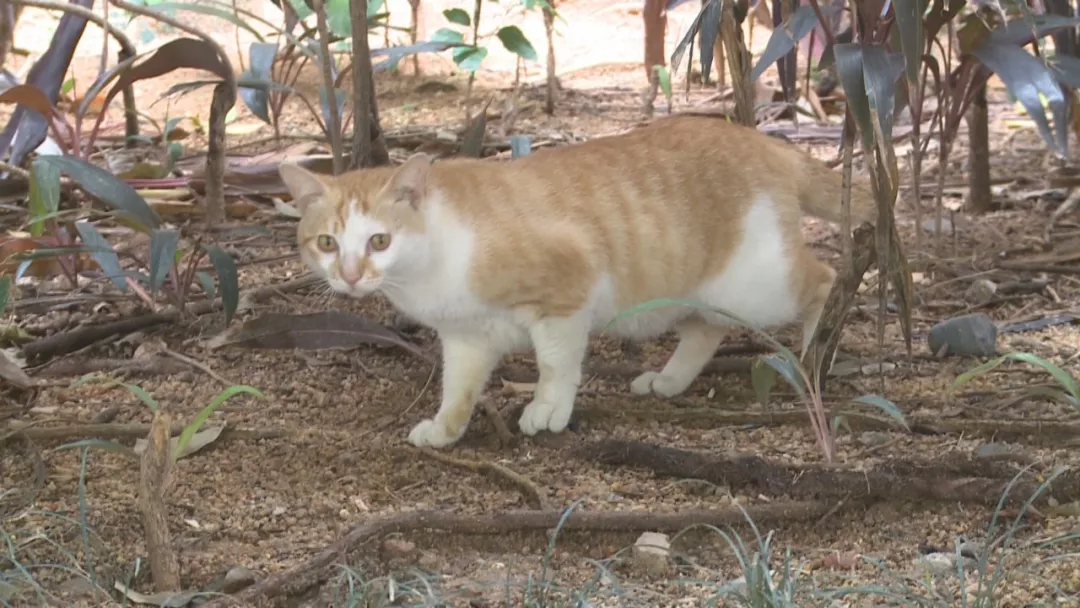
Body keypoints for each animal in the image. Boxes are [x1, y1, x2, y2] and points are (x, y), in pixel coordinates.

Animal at [278, 113, 877, 449]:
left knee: (826, 278)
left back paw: (813, 355)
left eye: (379, 241)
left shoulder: (566, 295)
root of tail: (766, 142)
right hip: (701, 291)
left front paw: (548, 409)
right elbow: (457, 390)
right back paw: (670, 380)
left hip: (757, 285)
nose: (350, 277)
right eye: (327, 244)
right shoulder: (466, 339)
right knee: (705, 330)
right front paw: (447, 430)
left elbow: (556, 365)